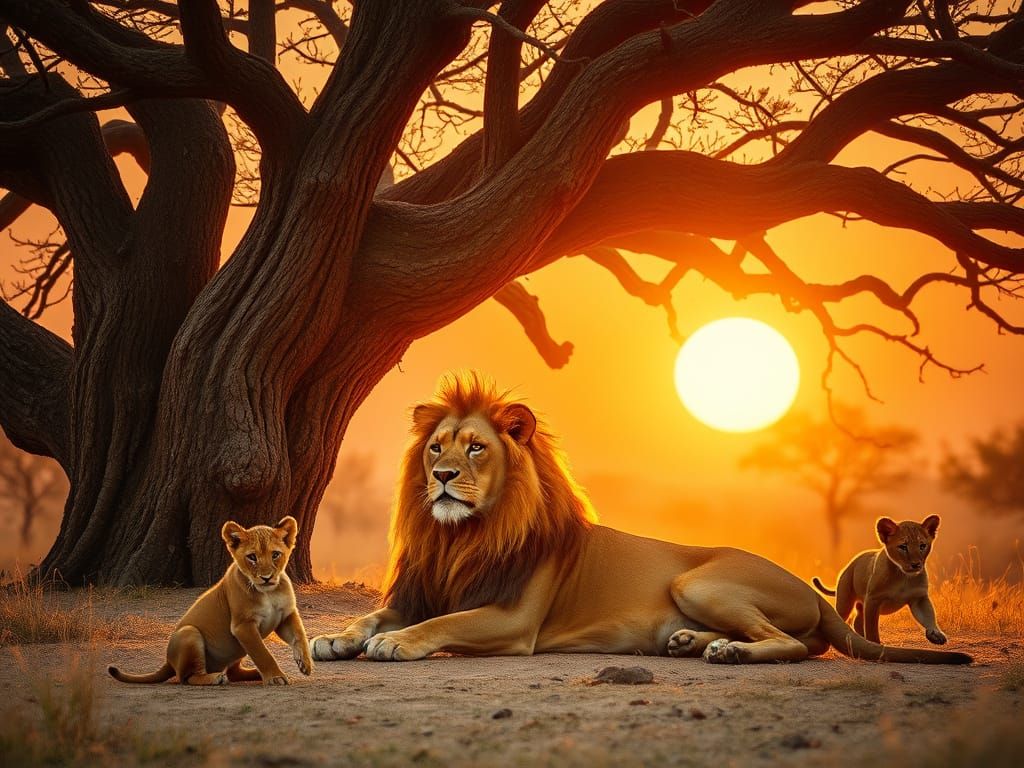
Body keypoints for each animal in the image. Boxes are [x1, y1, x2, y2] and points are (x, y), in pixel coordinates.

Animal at [109, 516, 314, 685]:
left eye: (275, 555)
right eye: (252, 557)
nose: (266, 577)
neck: (269, 592)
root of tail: (168, 662)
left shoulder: (285, 614)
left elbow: (299, 635)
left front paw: (305, 663)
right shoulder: (243, 626)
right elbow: (263, 653)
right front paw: (276, 677)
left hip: (236, 648)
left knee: (233, 672)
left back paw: (255, 673)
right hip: (189, 633)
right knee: (188, 677)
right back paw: (216, 678)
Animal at [812, 515, 947, 645]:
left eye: (922, 546)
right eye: (903, 547)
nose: (916, 564)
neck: (903, 577)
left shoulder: (919, 598)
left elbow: (928, 616)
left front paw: (935, 634)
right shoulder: (873, 600)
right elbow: (871, 628)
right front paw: (875, 644)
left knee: (857, 621)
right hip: (845, 602)